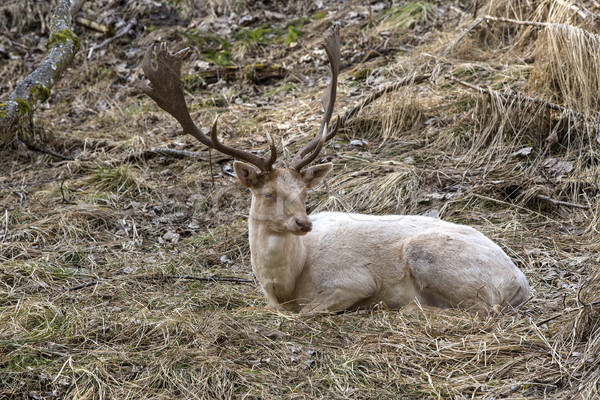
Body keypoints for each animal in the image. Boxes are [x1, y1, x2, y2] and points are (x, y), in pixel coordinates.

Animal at [139, 26, 528, 318]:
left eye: (304, 193)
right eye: (269, 193)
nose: (303, 223)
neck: (287, 284)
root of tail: (520, 281)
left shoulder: (353, 281)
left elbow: (308, 312)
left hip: (432, 256)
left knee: (483, 309)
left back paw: (405, 309)